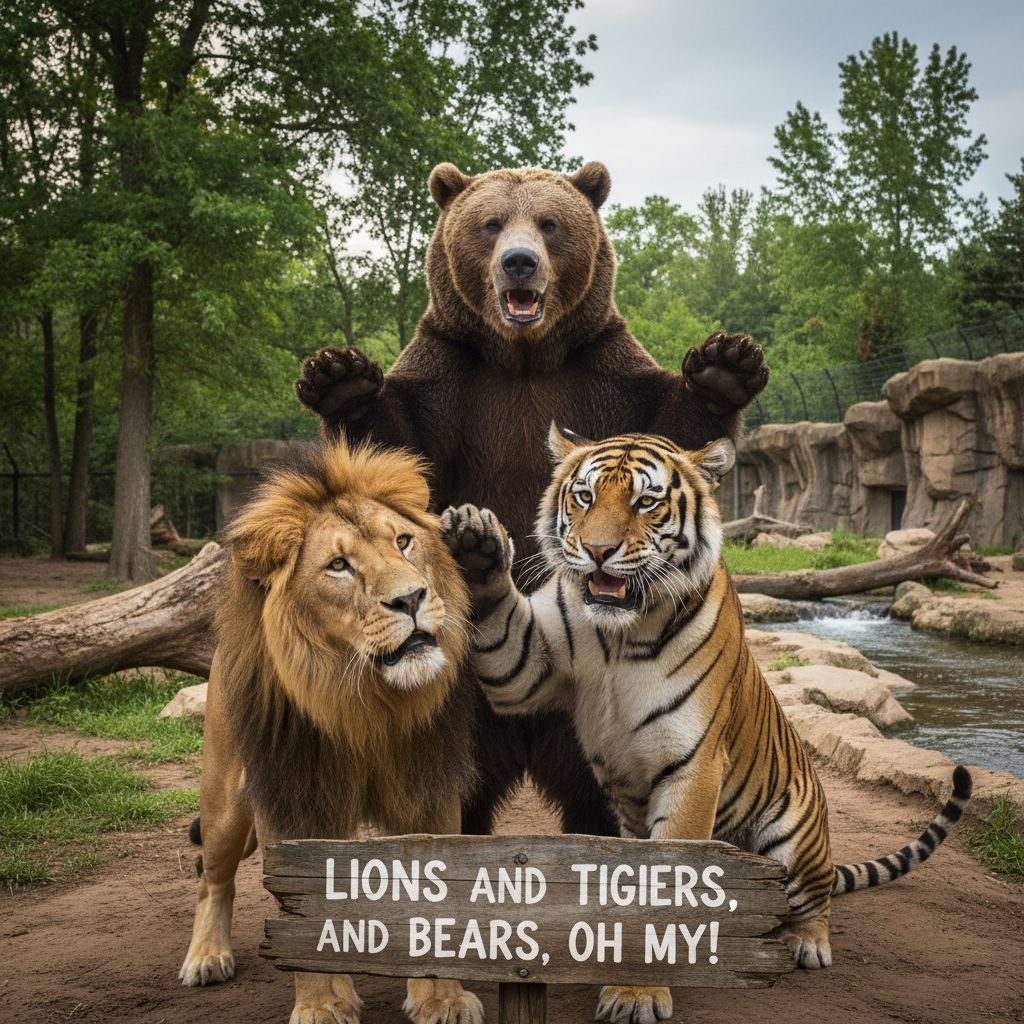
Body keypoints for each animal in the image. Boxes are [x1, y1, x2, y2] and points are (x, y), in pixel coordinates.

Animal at [178, 438, 482, 1024]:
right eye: (339, 566)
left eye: (403, 541)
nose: (412, 598)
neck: (365, 705)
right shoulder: (295, 797)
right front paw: (321, 1005)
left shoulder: (427, 789)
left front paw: (441, 999)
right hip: (225, 798)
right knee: (212, 876)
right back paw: (206, 956)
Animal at [295, 161, 768, 838]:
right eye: (491, 224)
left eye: (548, 223)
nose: (519, 262)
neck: (523, 358)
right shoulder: (453, 382)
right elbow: (397, 451)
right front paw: (340, 377)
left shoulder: (601, 375)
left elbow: (673, 426)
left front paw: (725, 364)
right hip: (454, 683)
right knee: (453, 777)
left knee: (597, 788)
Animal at [441, 424, 972, 1024]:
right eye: (584, 496)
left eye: (645, 502)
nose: (598, 551)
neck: (619, 634)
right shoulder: (528, 664)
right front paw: (476, 546)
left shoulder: (692, 765)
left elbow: (665, 890)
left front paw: (638, 994)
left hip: (793, 839)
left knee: (814, 901)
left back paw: (806, 943)